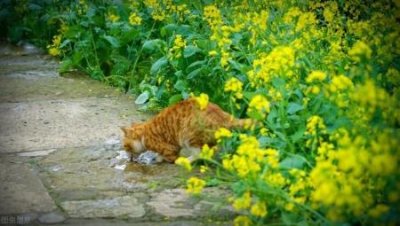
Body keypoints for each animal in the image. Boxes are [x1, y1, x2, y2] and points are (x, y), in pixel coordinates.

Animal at [121, 98, 250, 163]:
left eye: (126, 147)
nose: (128, 157)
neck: (144, 134)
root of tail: (224, 115)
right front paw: (158, 157)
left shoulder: (168, 148)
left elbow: (169, 156)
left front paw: (163, 158)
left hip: (189, 137)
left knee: (199, 154)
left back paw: (186, 161)